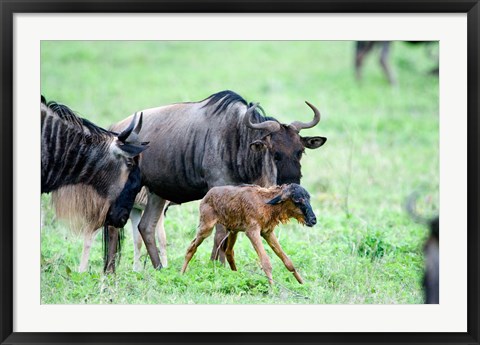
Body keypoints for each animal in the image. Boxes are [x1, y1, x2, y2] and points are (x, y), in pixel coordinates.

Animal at [179, 184, 316, 284]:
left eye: (308, 198)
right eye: (297, 200)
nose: (313, 220)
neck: (264, 202)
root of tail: (207, 195)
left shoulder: (267, 233)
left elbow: (287, 261)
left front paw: (303, 284)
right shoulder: (252, 232)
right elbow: (266, 262)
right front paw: (272, 289)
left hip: (233, 231)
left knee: (229, 252)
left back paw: (236, 275)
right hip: (206, 228)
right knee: (191, 247)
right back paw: (181, 274)